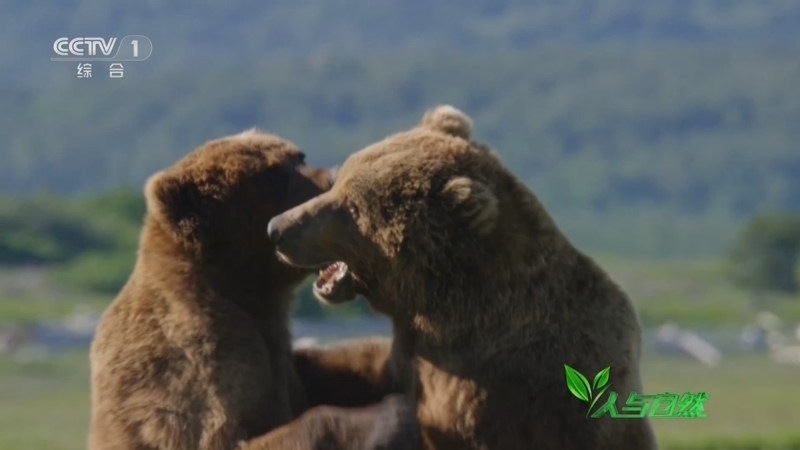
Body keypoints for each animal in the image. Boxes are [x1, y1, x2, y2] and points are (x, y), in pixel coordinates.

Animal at [87, 129, 420, 450]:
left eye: (299, 156)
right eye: (274, 175)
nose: (335, 174)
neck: (246, 291)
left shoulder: (279, 353)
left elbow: (327, 371)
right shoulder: (198, 367)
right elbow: (232, 437)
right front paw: (395, 414)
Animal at [267, 105, 660, 450]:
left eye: (352, 207)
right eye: (339, 182)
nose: (278, 228)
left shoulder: (503, 391)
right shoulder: (413, 358)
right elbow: (363, 366)